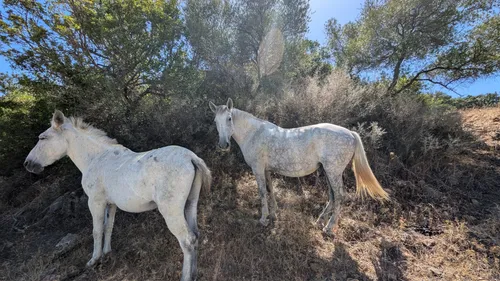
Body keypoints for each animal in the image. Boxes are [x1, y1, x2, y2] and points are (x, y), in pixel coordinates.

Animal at [24, 110, 211, 280]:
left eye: (43, 138)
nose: (28, 164)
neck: (95, 158)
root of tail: (191, 158)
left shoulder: (95, 202)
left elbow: (97, 230)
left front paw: (94, 260)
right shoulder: (111, 204)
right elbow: (109, 226)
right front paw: (107, 253)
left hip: (171, 211)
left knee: (187, 240)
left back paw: (186, 276)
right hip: (190, 204)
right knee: (195, 236)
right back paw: (194, 273)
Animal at [209, 98, 388, 234]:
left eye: (229, 118)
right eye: (215, 121)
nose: (223, 145)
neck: (253, 133)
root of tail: (350, 133)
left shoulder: (258, 169)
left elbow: (262, 192)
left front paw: (263, 218)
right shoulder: (266, 170)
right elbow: (270, 189)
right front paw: (274, 213)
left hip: (333, 171)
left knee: (339, 196)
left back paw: (329, 227)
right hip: (328, 171)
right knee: (332, 195)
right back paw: (320, 220)